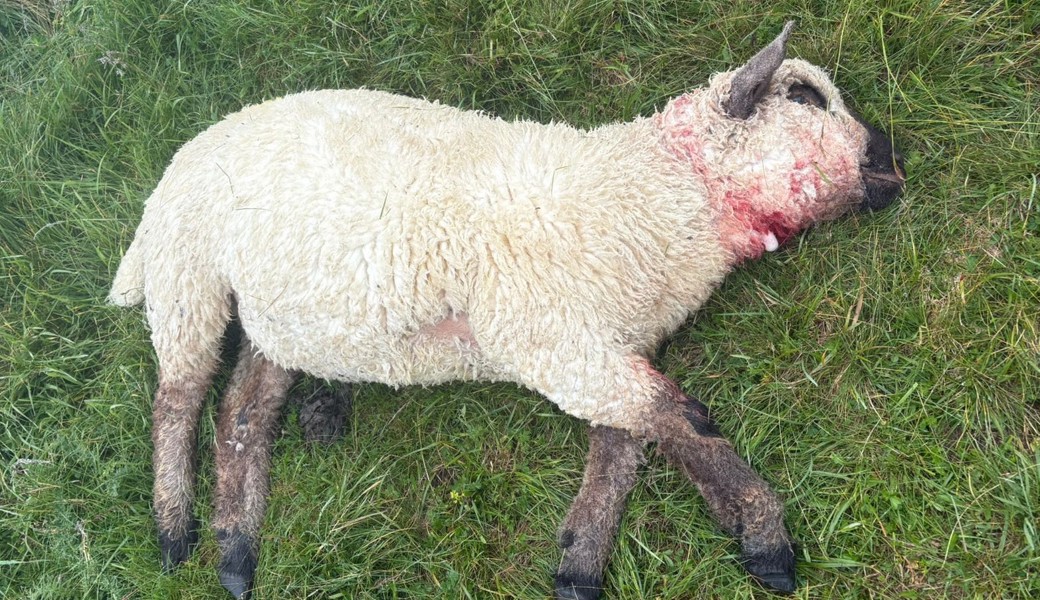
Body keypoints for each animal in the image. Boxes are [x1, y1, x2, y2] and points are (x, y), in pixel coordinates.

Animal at [108, 21, 905, 599]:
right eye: (807, 99)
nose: (895, 161)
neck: (657, 194)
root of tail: (181, 159)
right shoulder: (550, 339)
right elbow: (683, 419)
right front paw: (766, 539)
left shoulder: (614, 343)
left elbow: (622, 445)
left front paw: (581, 560)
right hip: (188, 274)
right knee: (178, 400)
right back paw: (175, 530)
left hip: (278, 318)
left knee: (242, 411)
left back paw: (237, 549)